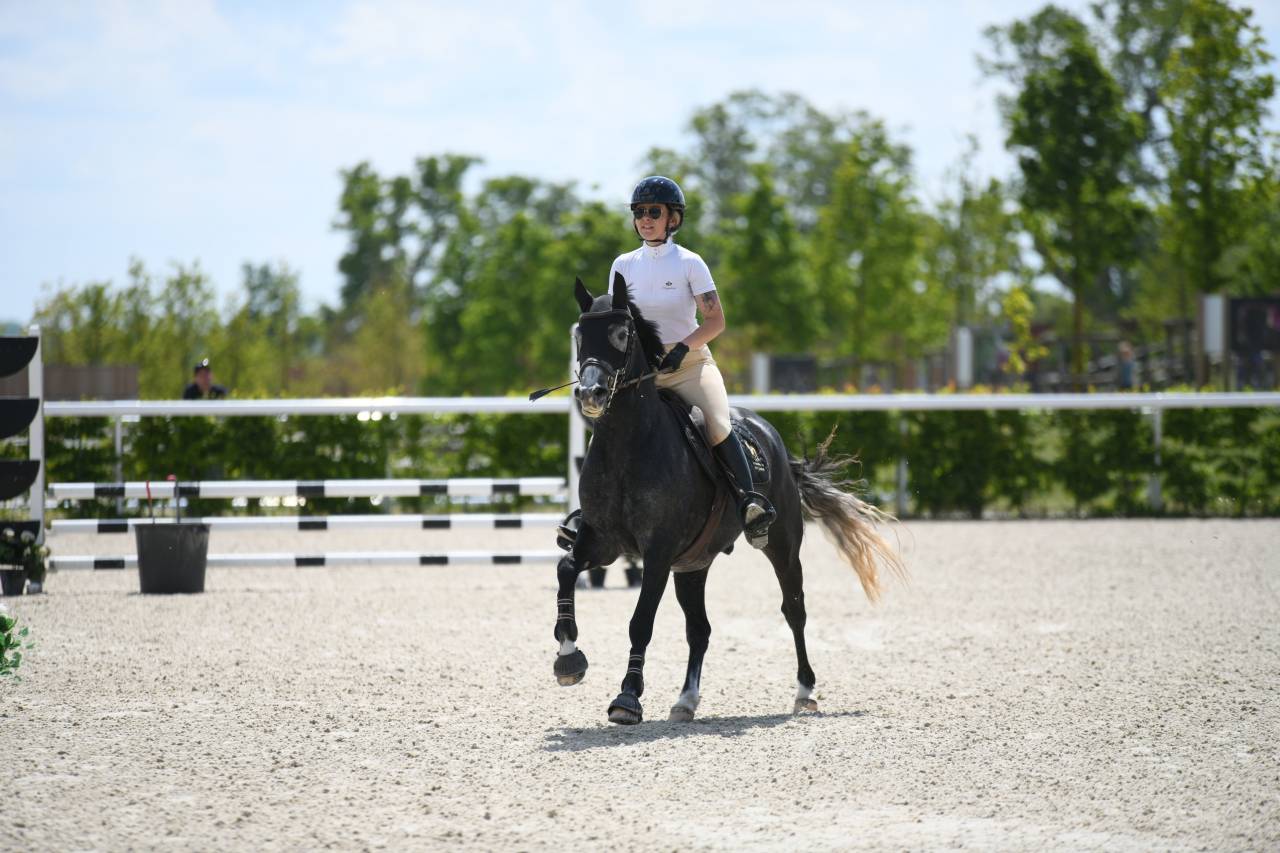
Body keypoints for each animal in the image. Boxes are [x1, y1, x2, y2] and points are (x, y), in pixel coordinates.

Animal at [553, 274, 904, 725]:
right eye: (580, 335)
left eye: (620, 333)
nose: (592, 395)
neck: (626, 446)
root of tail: (770, 436)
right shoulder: (603, 542)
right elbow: (565, 569)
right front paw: (568, 657)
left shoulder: (657, 552)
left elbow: (641, 621)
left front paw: (627, 697)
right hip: (693, 564)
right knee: (699, 629)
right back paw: (686, 700)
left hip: (782, 546)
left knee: (794, 610)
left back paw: (805, 692)